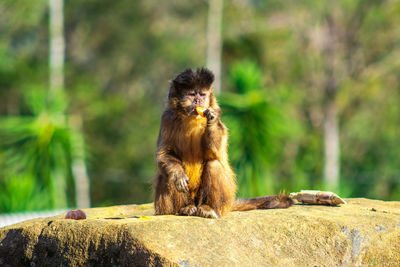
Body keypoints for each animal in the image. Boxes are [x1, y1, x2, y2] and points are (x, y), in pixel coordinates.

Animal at [153, 68, 290, 219]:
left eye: (202, 94)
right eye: (192, 94)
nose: (198, 100)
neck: (192, 118)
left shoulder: (216, 111)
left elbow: (215, 151)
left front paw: (211, 121)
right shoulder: (167, 118)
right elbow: (164, 154)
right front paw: (177, 174)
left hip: (225, 198)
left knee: (214, 166)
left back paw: (209, 208)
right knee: (166, 175)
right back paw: (184, 207)